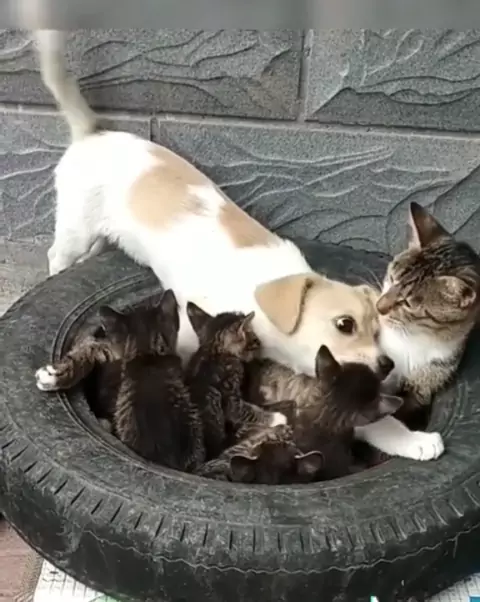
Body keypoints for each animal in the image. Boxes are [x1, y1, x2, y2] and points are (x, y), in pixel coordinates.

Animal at [185, 302, 287, 460]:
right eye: (255, 341)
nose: (260, 344)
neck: (213, 350)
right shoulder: (230, 394)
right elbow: (245, 411)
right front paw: (276, 417)